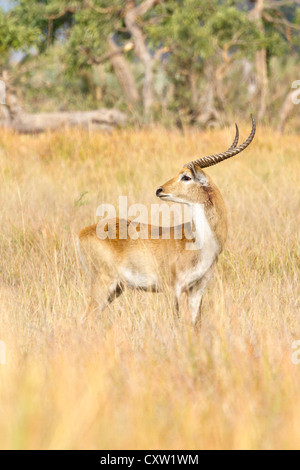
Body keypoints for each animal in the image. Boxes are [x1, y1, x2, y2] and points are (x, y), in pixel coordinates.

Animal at [78, 115, 255, 324]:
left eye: (186, 177)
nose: (159, 189)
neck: (200, 243)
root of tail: (82, 232)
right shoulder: (175, 288)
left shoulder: (198, 289)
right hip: (104, 284)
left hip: (116, 289)